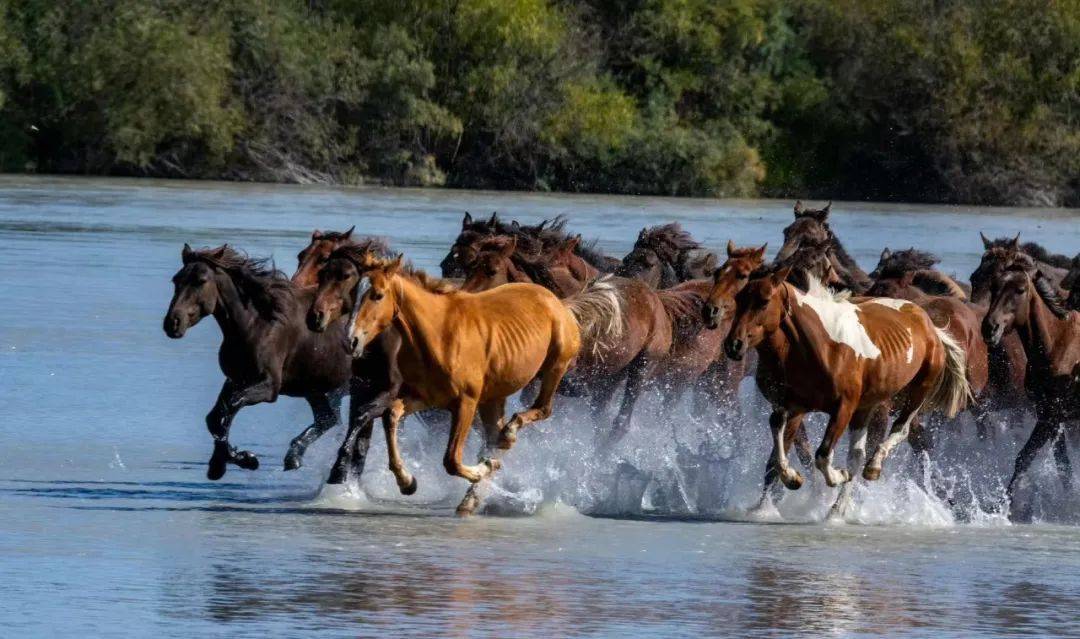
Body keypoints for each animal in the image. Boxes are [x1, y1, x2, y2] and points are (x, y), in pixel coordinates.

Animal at [162, 245, 352, 479]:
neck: (257, 323)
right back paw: (294, 459)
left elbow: (232, 405)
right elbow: (214, 418)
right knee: (328, 419)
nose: (172, 323)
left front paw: (241, 459)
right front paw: (223, 463)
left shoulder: (269, 387)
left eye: (201, 280)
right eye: (176, 280)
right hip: (318, 390)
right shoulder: (236, 379)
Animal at [345, 254, 583, 513]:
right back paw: (473, 495)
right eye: (354, 292)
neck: (439, 335)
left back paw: (507, 437)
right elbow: (391, 413)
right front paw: (407, 482)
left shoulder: (466, 402)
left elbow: (451, 459)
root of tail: (556, 301)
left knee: (542, 409)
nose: (351, 341)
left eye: (378, 295)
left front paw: (485, 468)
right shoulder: (426, 397)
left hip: (555, 366)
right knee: (494, 436)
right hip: (493, 397)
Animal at [725, 266, 972, 515]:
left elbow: (822, 455)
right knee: (857, 455)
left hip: (920, 388)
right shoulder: (793, 405)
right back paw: (836, 511)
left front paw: (837, 475)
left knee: (899, 431)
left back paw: (872, 468)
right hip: (867, 406)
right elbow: (777, 441)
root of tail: (929, 324)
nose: (733, 345)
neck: (823, 345)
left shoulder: (843, 408)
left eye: (764, 301)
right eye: (738, 298)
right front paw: (788, 483)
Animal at [984, 264, 1075, 518]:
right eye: (993, 286)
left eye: (1020, 290)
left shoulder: (1050, 417)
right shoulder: (1051, 417)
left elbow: (1024, 458)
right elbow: (1063, 467)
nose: (990, 328)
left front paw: (1004, 506)